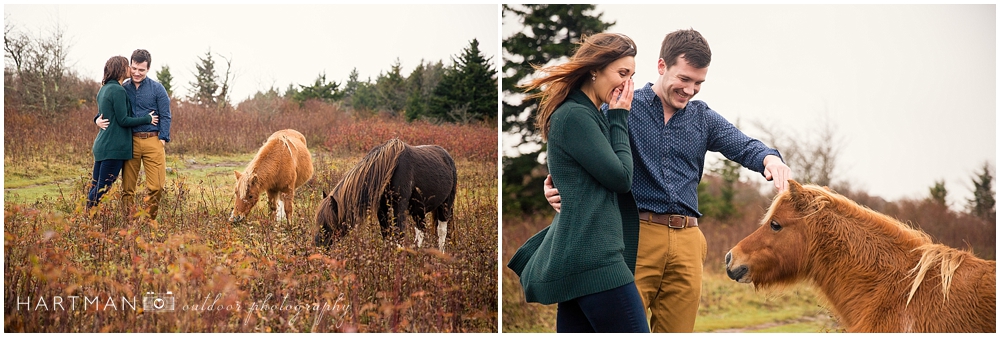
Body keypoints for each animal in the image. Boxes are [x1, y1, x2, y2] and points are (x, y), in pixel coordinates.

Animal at [312, 138, 458, 251]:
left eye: (328, 223)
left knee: (442, 231)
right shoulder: (382, 209)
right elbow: (386, 236)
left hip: (446, 205)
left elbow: (399, 235)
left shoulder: (399, 208)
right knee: (421, 230)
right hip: (418, 209)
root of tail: (447, 157)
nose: (318, 246)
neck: (389, 169)